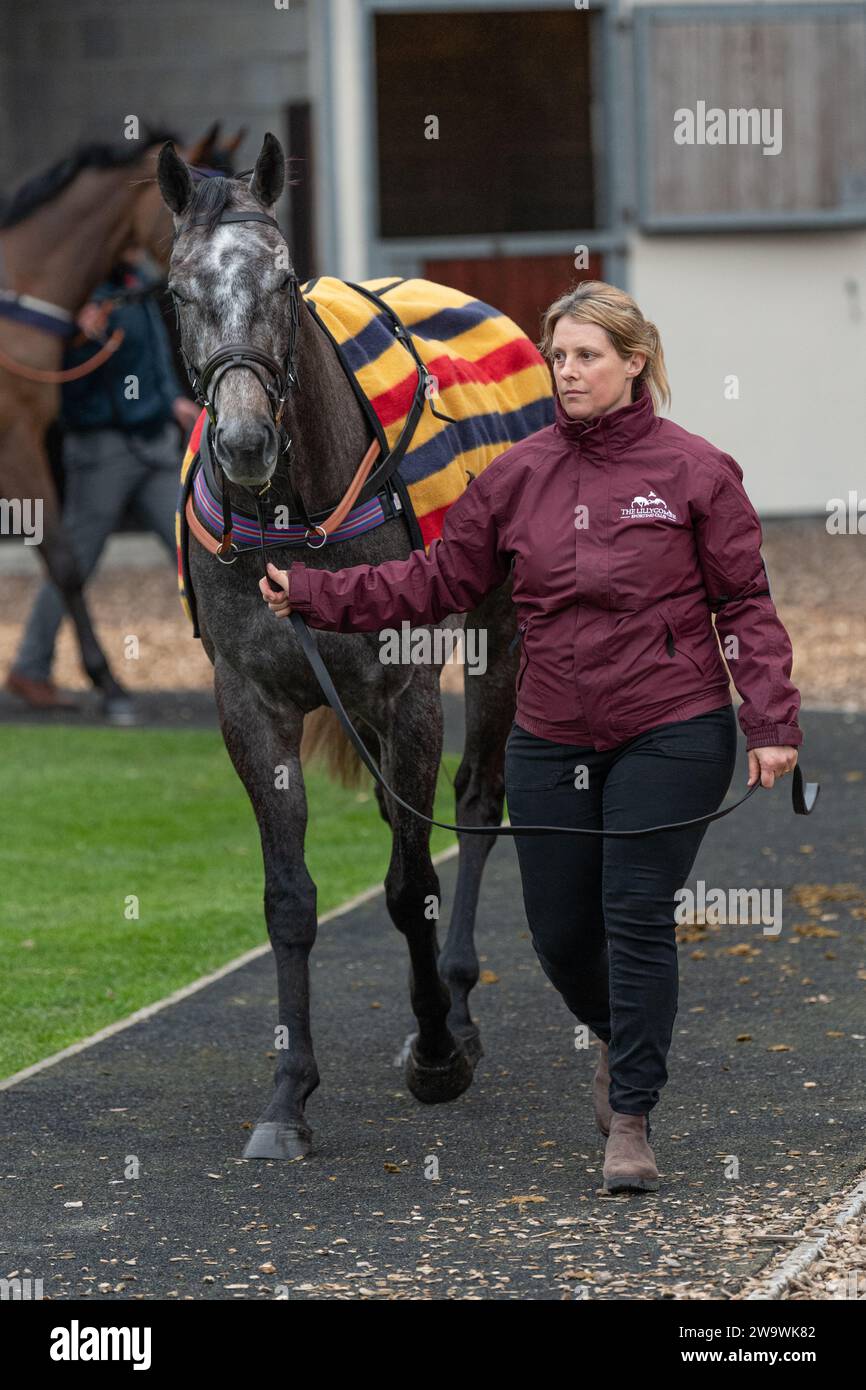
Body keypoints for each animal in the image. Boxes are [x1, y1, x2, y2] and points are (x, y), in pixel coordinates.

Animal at [154, 132, 539, 1162]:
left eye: (285, 281)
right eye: (177, 289)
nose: (244, 443)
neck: (292, 519)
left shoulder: (405, 690)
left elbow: (410, 883)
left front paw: (438, 1053)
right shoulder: (250, 700)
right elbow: (289, 900)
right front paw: (287, 1096)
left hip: (499, 632)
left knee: (474, 804)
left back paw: (454, 1002)